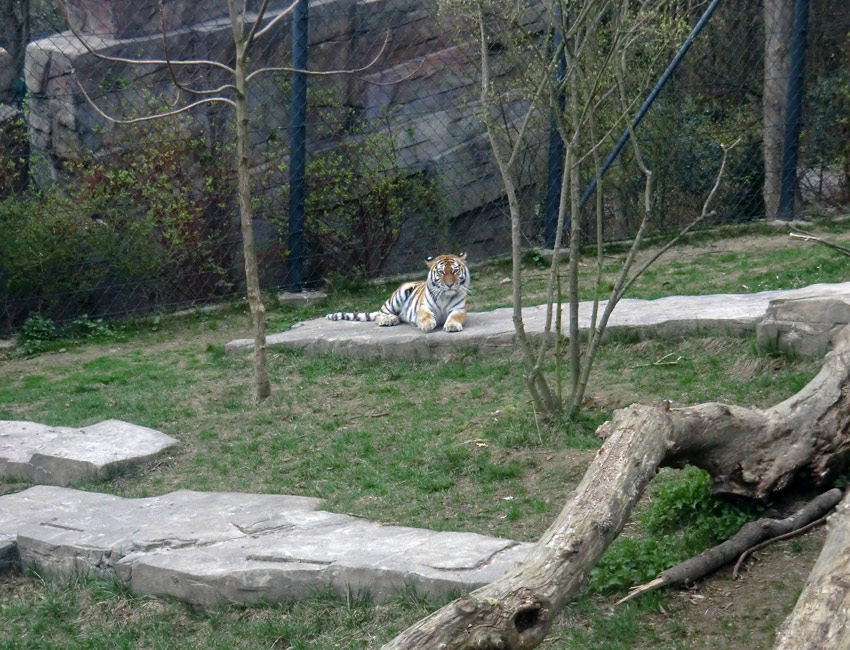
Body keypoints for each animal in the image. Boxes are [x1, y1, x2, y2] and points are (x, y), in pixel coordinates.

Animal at [326, 252, 470, 332]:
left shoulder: (459, 309)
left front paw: (452, 326)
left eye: (455, 271)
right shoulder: (424, 307)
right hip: (398, 296)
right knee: (380, 314)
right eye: (441, 272)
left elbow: (455, 317)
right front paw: (427, 324)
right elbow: (424, 315)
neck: (445, 296)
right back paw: (389, 320)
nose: (450, 285)